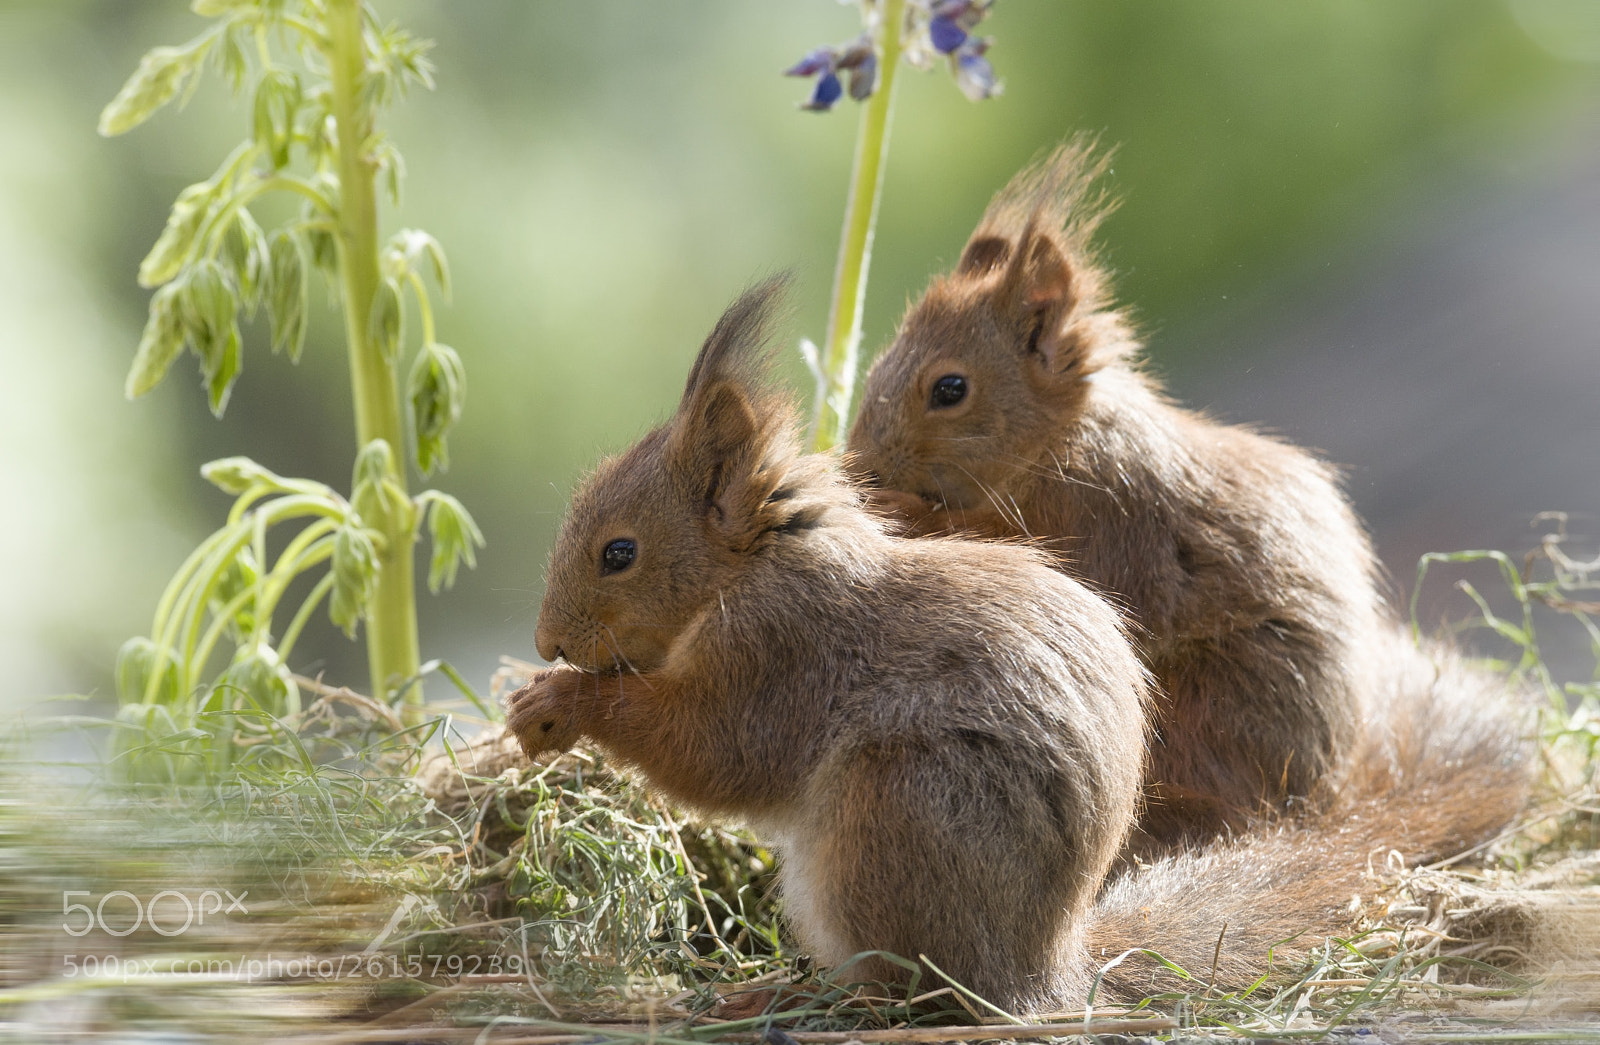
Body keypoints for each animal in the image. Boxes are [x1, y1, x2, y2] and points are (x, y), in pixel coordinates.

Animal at [507, 278, 1530, 1012]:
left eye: (619, 552)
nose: (546, 637)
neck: (756, 564)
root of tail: (1043, 970)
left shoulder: (784, 650)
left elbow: (719, 751)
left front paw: (566, 702)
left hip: (894, 816)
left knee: (904, 989)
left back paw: (780, 994)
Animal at [844, 139, 1495, 849]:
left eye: (950, 389)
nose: (860, 461)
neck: (1054, 448)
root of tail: (1320, 796)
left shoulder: (1113, 521)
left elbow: (1050, 566)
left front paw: (890, 511)